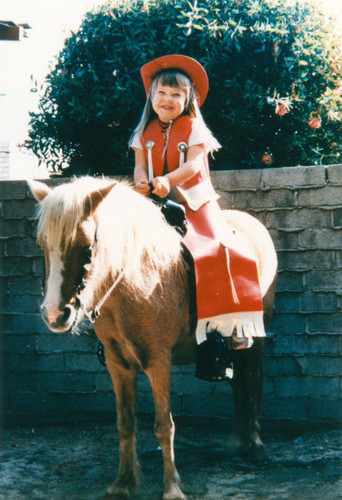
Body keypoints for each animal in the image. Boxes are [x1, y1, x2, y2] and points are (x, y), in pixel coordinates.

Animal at [28, 178, 276, 500]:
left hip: (255, 339)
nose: (55, 314)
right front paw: (124, 482)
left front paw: (172, 487)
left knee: (253, 379)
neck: (133, 281)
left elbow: (163, 425)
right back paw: (237, 440)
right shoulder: (118, 364)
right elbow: (125, 423)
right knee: (240, 384)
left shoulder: (158, 361)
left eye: (86, 248)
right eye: (43, 245)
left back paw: (255, 443)